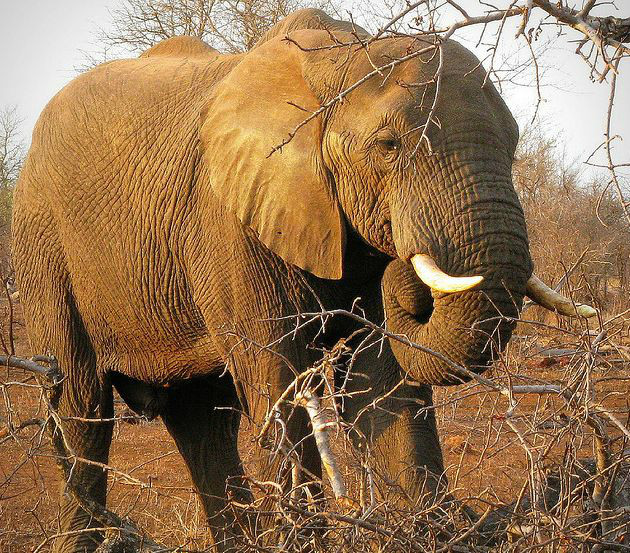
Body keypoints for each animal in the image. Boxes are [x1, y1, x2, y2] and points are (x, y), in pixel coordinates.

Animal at [12, 8, 596, 552]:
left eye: (514, 142)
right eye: (388, 146)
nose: (409, 271)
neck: (336, 61)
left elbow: (381, 383)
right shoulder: (232, 223)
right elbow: (279, 381)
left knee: (202, 421)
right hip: (43, 246)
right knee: (82, 409)